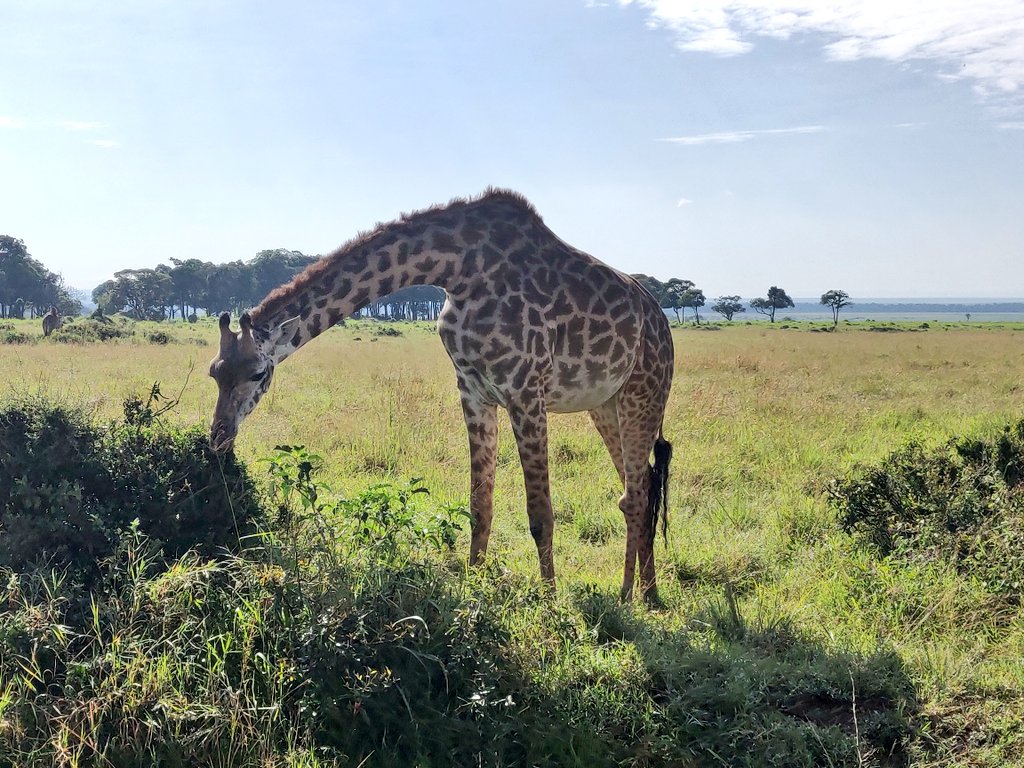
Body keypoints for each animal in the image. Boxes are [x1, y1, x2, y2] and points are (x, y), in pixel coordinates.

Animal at [209, 189, 674, 603]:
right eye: (214, 372)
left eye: (257, 373)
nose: (218, 439)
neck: (456, 270)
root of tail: (661, 321)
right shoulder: (472, 389)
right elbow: (479, 505)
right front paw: (474, 589)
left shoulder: (525, 389)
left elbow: (540, 514)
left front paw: (549, 603)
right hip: (605, 404)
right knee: (640, 486)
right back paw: (643, 592)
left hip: (644, 393)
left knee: (636, 493)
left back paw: (633, 595)